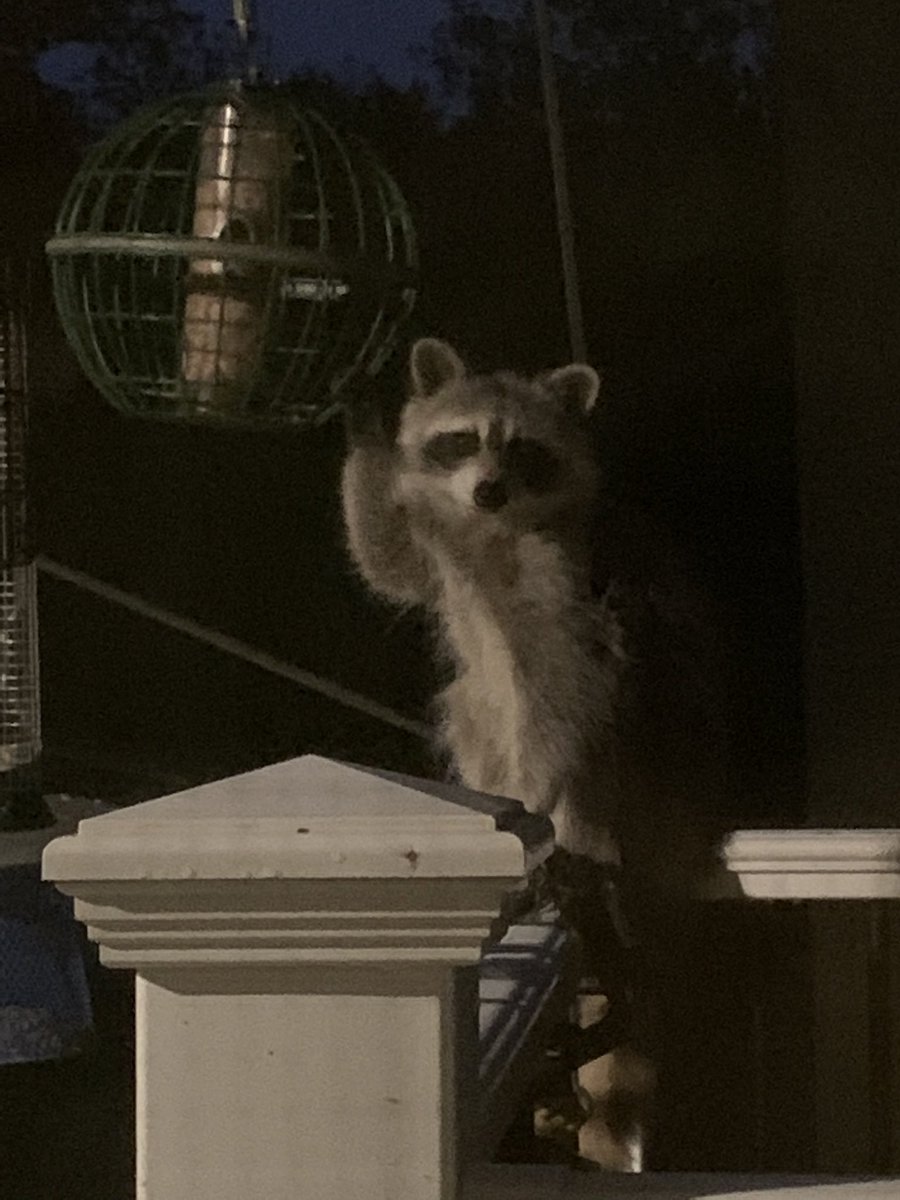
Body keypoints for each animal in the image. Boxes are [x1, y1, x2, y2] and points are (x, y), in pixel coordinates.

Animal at [341, 337, 728, 1168]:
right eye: (461, 440)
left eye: (523, 449)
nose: (488, 490)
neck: (489, 530)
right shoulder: (441, 551)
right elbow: (386, 558)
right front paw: (364, 434)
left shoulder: (562, 578)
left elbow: (565, 688)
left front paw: (536, 799)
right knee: (473, 704)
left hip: (651, 763)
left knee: (587, 719)